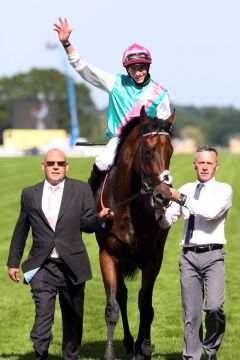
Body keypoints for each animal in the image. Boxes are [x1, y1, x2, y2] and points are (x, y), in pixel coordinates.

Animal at [94, 107, 175, 360]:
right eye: (148, 151)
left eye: (170, 151)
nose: (163, 196)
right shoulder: (108, 254)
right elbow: (112, 305)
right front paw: (110, 352)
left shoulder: (153, 259)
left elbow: (146, 305)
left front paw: (145, 347)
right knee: (122, 295)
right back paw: (130, 343)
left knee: (139, 298)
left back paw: (138, 346)